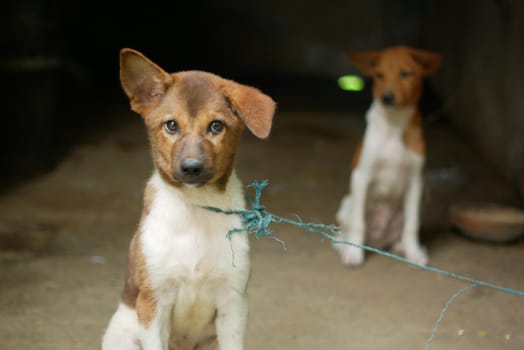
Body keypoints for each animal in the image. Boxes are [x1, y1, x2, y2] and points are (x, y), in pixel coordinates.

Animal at [101, 48, 274, 350]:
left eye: (216, 126)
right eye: (171, 125)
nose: (191, 168)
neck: (197, 209)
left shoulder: (233, 300)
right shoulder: (153, 301)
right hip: (124, 338)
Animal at [334, 45, 440, 266]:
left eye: (405, 74)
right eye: (379, 75)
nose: (387, 97)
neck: (394, 124)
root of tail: (377, 242)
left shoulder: (417, 181)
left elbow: (412, 224)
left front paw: (414, 252)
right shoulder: (361, 176)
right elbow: (358, 223)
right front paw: (354, 254)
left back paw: (403, 247)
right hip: (346, 204)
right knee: (343, 231)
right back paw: (345, 247)